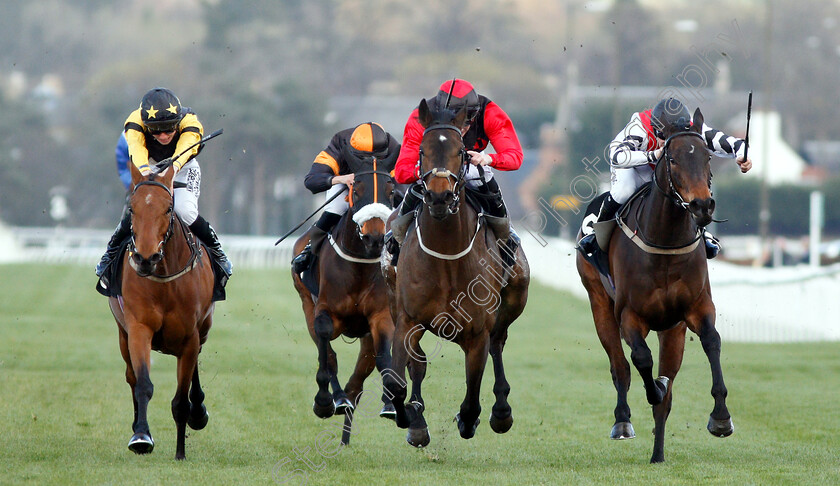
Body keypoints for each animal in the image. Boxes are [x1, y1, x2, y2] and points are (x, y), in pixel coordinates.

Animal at [108, 162, 215, 460]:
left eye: (168, 208)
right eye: (132, 209)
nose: (145, 258)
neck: (165, 279)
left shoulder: (190, 337)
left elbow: (180, 400)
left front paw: (180, 453)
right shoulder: (138, 328)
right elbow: (143, 384)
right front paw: (142, 437)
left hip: (203, 330)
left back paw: (199, 411)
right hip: (122, 334)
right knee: (132, 378)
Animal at [292, 158, 400, 442]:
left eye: (391, 191)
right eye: (357, 189)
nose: (375, 237)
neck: (360, 264)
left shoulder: (380, 316)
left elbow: (385, 356)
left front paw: (389, 403)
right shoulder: (324, 312)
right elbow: (327, 354)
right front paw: (326, 401)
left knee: (358, 381)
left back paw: (345, 436)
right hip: (306, 303)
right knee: (328, 353)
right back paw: (338, 401)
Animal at [384, 99, 528, 448]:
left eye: (462, 151)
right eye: (422, 150)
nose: (439, 196)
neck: (447, 256)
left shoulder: (476, 332)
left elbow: (473, 395)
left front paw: (470, 419)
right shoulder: (407, 319)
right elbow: (398, 381)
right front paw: (409, 418)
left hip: (513, 300)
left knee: (498, 344)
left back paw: (501, 412)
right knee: (419, 365)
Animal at [576, 108, 736, 466]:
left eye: (706, 156)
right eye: (672, 159)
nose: (702, 205)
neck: (665, 241)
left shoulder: (696, 309)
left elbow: (712, 342)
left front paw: (720, 417)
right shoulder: (629, 316)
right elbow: (641, 360)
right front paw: (654, 389)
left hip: (671, 328)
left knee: (665, 389)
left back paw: (658, 454)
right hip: (599, 304)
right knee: (620, 367)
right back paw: (623, 421)